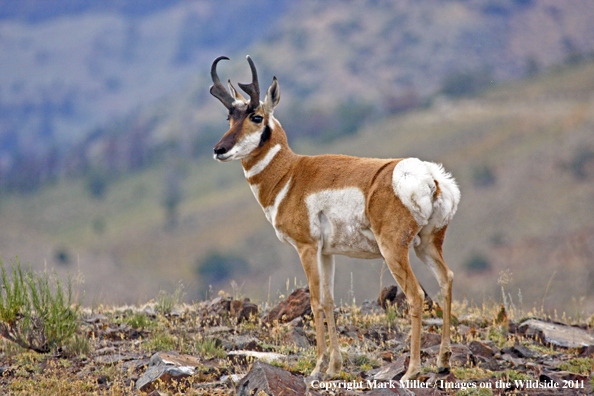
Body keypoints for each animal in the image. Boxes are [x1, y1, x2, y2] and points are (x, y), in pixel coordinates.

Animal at [210, 55, 460, 380]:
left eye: (256, 117)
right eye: (229, 118)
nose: (219, 149)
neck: (290, 175)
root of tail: (430, 176)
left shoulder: (306, 248)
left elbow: (315, 301)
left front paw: (317, 367)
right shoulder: (326, 253)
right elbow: (329, 301)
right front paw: (334, 367)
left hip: (394, 249)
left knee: (416, 296)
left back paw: (412, 371)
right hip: (427, 245)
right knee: (446, 279)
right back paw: (443, 361)